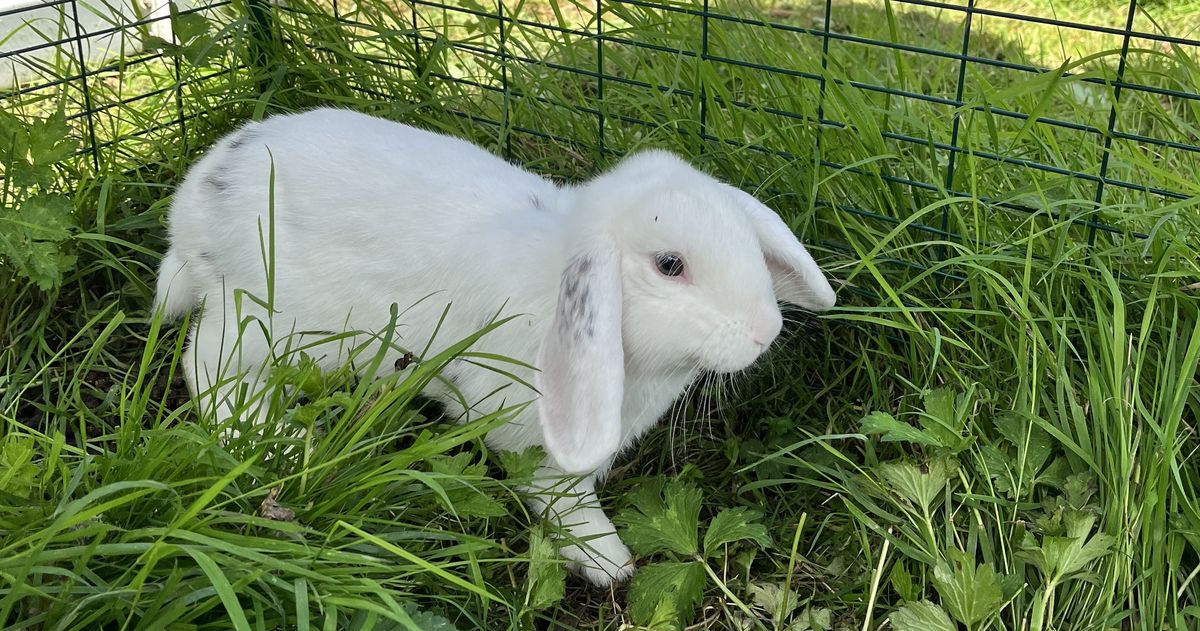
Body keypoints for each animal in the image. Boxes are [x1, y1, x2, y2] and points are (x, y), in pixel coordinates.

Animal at [155, 107, 837, 587]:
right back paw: (284, 440)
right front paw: (607, 561)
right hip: (268, 319)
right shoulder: (529, 437)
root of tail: (192, 207)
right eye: (671, 265)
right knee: (207, 366)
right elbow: (559, 497)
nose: (765, 330)